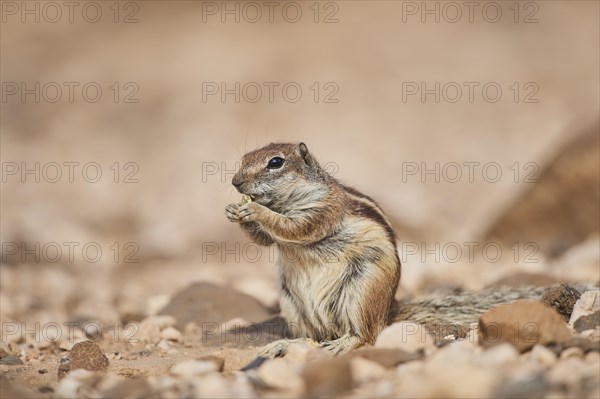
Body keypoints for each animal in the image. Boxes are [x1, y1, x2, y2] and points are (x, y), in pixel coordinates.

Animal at [224, 143, 398, 356]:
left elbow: (292, 227)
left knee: (367, 335)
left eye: (275, 162)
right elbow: (263, 239)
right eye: (244, 158)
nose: (236, 182)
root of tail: (386, 318)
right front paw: (232, 211)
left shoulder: (321, 210)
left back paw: (340, 344)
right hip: (292, 304)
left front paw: (256, 210)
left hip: (363, 294)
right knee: (311, 338)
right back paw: (282, 345)